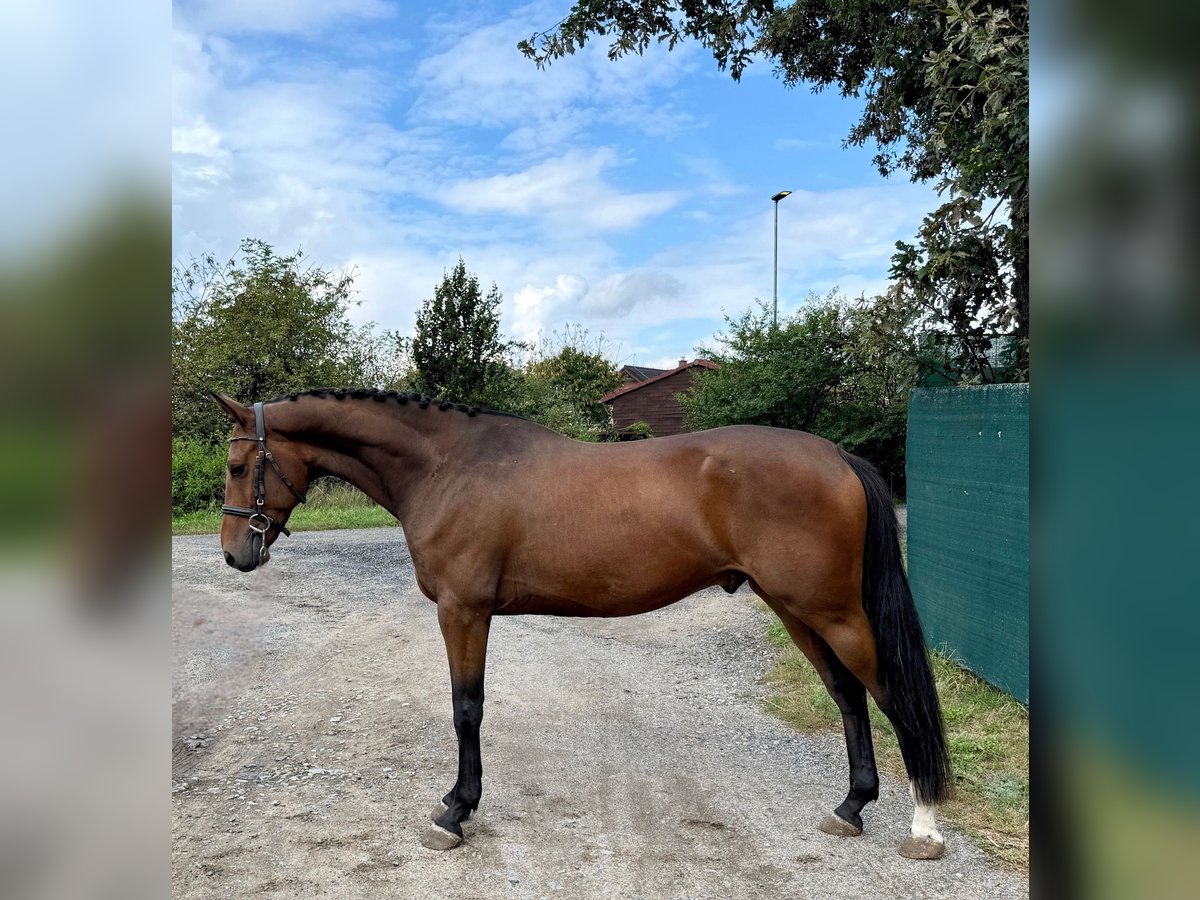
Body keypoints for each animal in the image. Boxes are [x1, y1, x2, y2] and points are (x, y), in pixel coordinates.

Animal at [211, 388, 950, 859]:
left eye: (239, 465)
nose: (235, 554)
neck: (448, 467)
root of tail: (835, 457)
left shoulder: (463, 611)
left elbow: (466, 708)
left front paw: (455, 812)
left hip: (831, 610)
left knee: (894, 696)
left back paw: (924, 828)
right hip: (795, 609)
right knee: (848, 696)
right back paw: (850, 808)